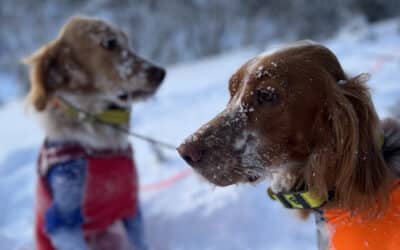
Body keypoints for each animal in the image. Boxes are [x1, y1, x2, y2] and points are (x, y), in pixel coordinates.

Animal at [25, 16, 164, 249]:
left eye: (128, 42)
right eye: (110, 42)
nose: (161, 72)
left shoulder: (129, 202)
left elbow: (140, 242)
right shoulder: (62, 223)